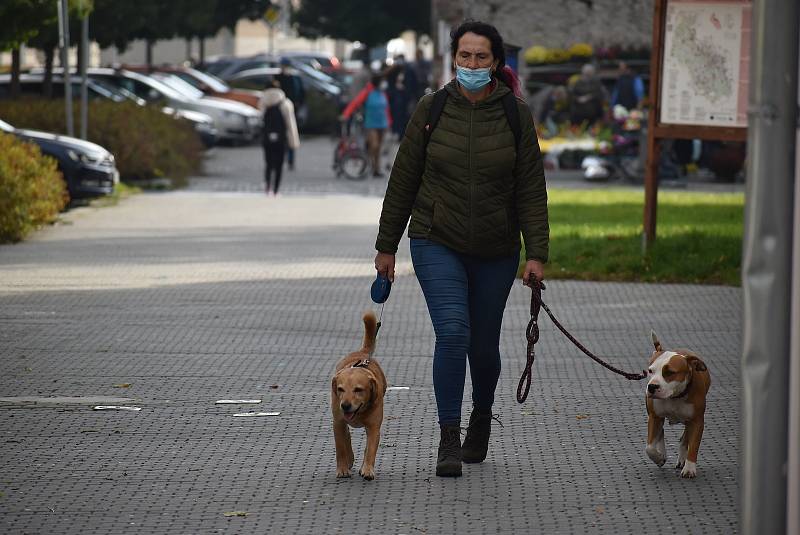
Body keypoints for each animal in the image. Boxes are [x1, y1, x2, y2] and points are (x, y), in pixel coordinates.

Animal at [332, 310, 388, 482]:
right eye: (340, 389)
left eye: (358, 389)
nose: (345, 405)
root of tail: (363, 353)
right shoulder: (338, 422)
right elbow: (341, 448)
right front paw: (342, 469)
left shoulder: (374, 426)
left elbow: (370, 450)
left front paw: (367, 469)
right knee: (346, 437)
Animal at [648, 332, 708, 480]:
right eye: (650, 371)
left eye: (670, 372)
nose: (652, 386)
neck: (675, 396)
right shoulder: (654, 416)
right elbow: (649, 447)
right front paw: (658, 458)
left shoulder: (697, 421)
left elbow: (693, 446)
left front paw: (689, 469)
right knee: (661, 432)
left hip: (688, 421)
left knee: (684, 439)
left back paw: (682, 460)